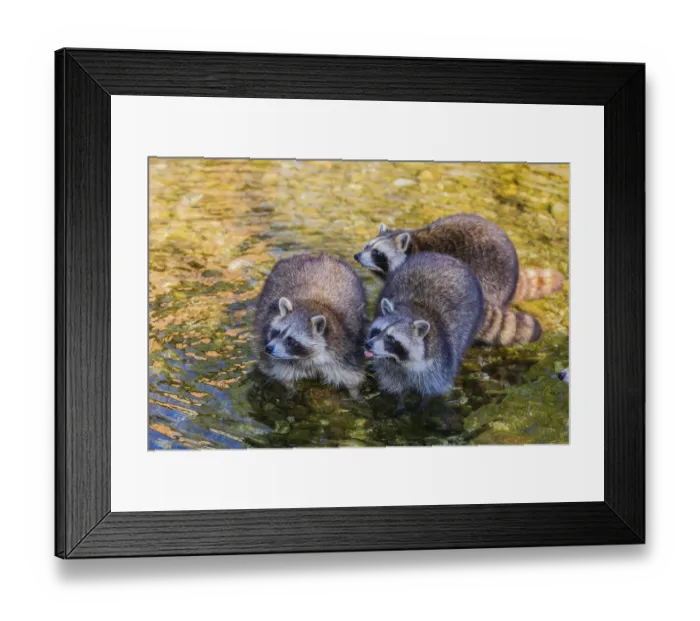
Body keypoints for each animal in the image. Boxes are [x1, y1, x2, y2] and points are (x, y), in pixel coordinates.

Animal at [255, 254, 367, 398]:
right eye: (277, 332)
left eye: (291, 340)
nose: (269, 348)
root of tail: (315, 256)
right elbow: (280, 372)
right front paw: (290, 390)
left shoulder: (347, 347)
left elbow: (353, 377)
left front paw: (355, 394)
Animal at [364, 252, 484, 410]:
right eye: (377, 331)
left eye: (391, 338)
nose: (368, 345)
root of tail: (445, 257)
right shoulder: (388, 365)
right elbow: (395, 380)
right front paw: (400, 400)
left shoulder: (440, 360)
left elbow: (433, 384)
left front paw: (424, 403)